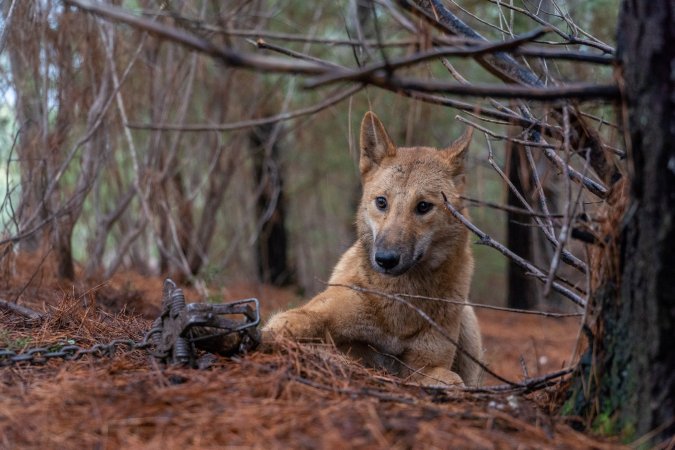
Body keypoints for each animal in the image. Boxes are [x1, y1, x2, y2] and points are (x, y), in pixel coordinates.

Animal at [262, 112, 480, 386]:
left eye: (423, 206)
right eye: (381, 202)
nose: (385, 259)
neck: (398, 306)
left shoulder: (426, 366)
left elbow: (453, 381)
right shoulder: (311, 314)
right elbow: (283, 328)